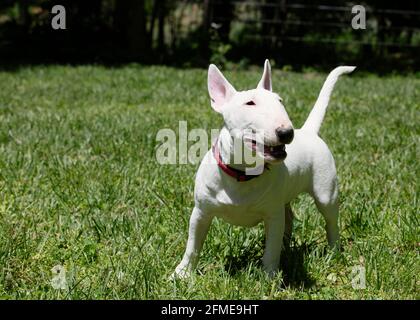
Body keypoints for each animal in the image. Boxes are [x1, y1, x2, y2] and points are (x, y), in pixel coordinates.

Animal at [173, 60, 354, 278]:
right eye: (250, 103)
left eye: (280, 101)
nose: (287, 132)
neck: (243, 174)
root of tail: (308, 131)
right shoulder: (201, 212)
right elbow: (193, 244)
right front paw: (181, 273)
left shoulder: (273, 215)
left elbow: (271, 249)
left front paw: (269, 277)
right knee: (289, 219)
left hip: (326, 192)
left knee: (330, 221)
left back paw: (334, 252)